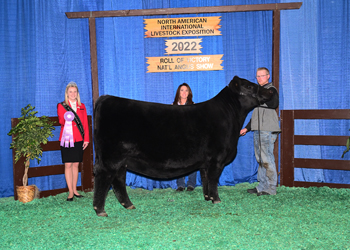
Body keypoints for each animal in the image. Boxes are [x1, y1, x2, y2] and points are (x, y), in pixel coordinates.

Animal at [92, 76, 274, 217]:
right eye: (249, 86)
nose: (270, 91)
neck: (231, 117)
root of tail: (106, 98)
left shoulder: (206, 162)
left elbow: (206, 179)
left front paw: (207, 197)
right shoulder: (217, 159)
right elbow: (214, 179)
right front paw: (216, 200)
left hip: (122, 161)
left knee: (118, 180)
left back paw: (128, 204)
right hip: (111, 158)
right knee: (104, 178)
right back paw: (100, 210)